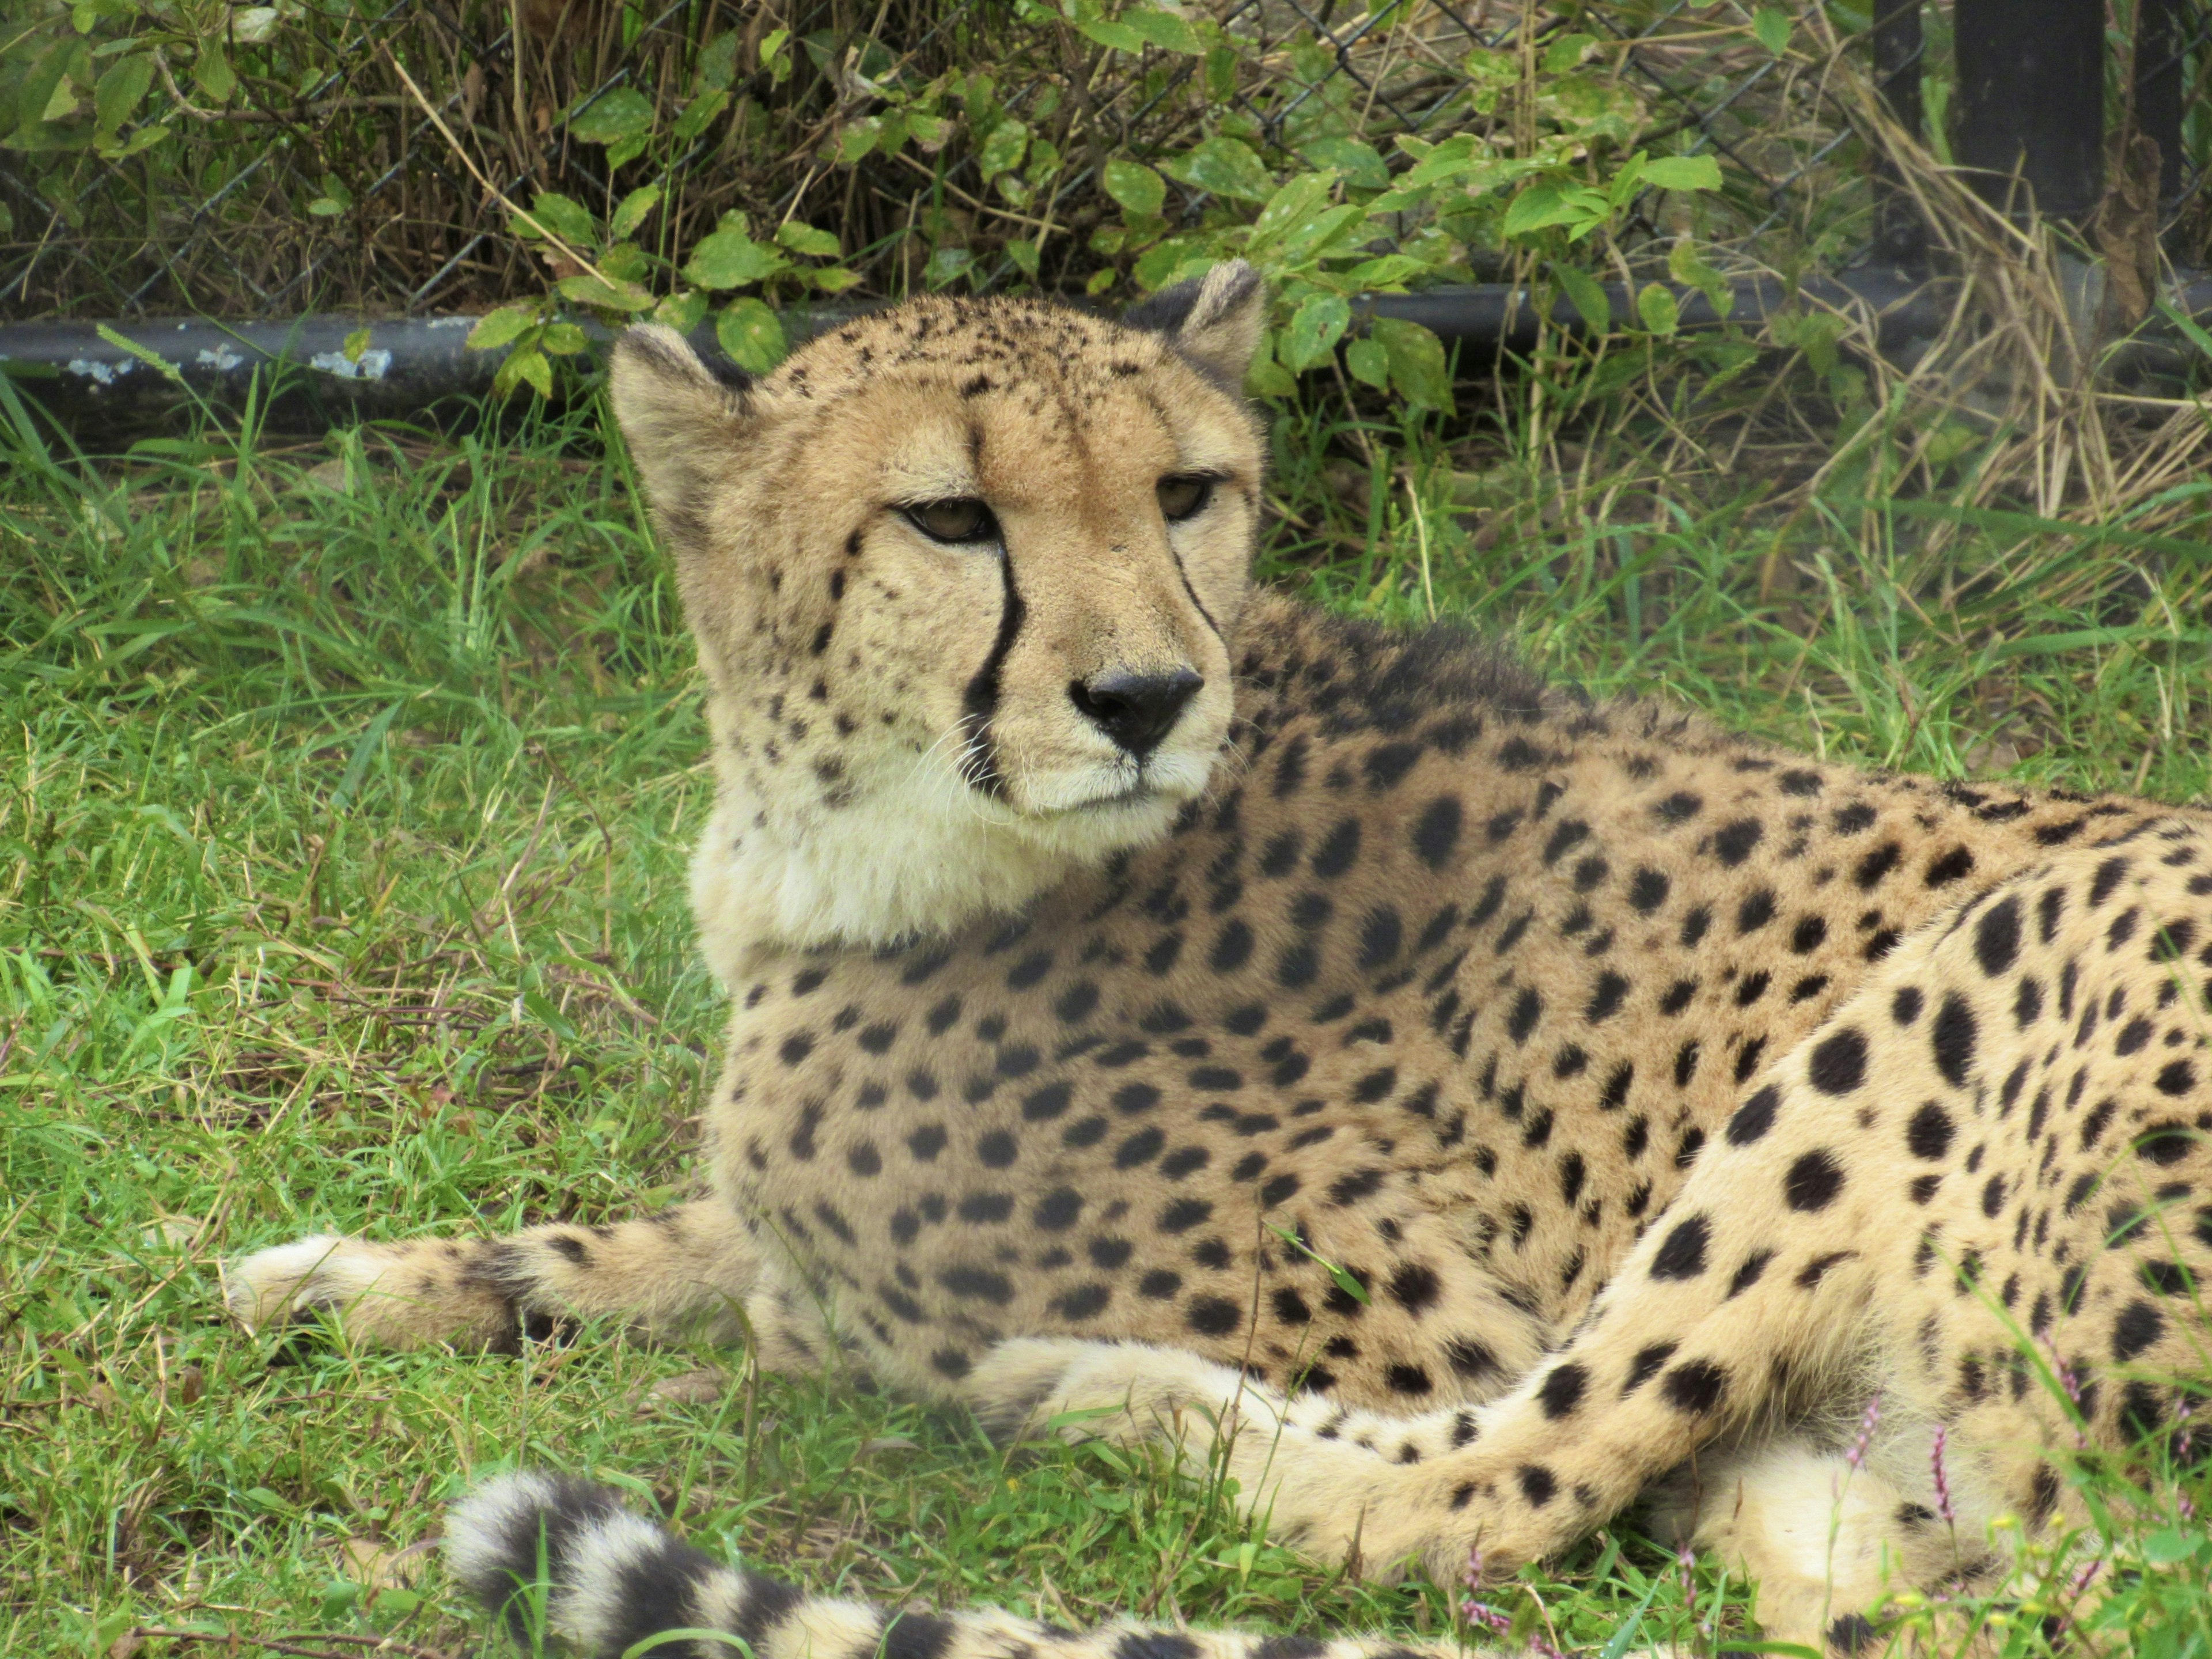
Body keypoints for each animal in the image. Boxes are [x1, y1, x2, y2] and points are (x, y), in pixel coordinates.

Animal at [229, 266, 2212, 1654]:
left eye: (1186, 493)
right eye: (950, 518)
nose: (1143, 697)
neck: (855, 838)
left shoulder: (1421, 1311)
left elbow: (795, 1292)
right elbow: (652, 1231)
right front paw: (352, 1277)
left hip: (2013, 945)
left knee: (1507, 1487)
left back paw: (1110, 1399)